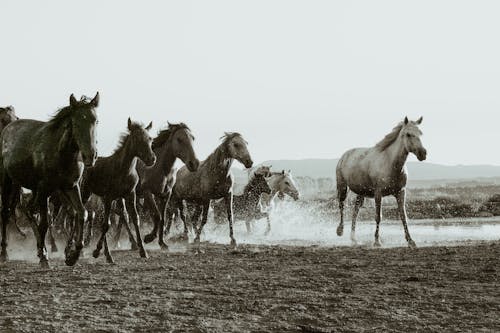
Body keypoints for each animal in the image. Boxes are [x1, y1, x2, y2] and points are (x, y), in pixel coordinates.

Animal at [0, 92, 99, 266]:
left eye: (96, 121)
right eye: (76, 122)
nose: (90, 156)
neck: (61, 154)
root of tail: (8, 128)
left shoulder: (71, 187)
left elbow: (82, 213)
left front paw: (73, 256)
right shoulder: (45, 189)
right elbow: (45, 222)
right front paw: (45, 256)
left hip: (31, 188)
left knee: (29, 211)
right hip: (8, 182)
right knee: (7, 213)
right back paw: (5, 253)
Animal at [80, 117, 155, 262]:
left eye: (150, 138)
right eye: (136, 138)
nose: (151, 159)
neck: (124, 170)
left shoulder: (130, 195)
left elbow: (135, 219)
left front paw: (143, 251)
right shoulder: (109, 197)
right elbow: (106, 225)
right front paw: (97, 251)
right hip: (85, 192)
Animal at [334, 115, 428, 248]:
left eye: (420, 133)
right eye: (408, 134)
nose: (423, 153)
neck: (391, 164)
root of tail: (344, 155)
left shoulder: (401, 192)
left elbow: (404, 216)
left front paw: (411, 241)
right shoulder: (378, 193)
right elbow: (378, 216)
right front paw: (377, 241)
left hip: (361, 193)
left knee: (355, 211)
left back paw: (353, 238)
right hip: (342, 187)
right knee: (341, 205)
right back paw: (340, 231)